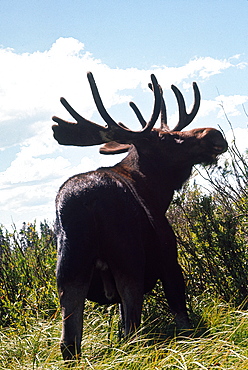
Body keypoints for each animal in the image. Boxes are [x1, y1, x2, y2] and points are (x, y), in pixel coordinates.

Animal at [51, 73, 228, 362]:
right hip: (129, 261)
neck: (156, 190)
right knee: (131, 332)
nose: (215, 134)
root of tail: (86, 202)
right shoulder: (169, 258)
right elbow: (182, 317)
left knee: (69, 343)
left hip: (69, 270)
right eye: (167, 138)